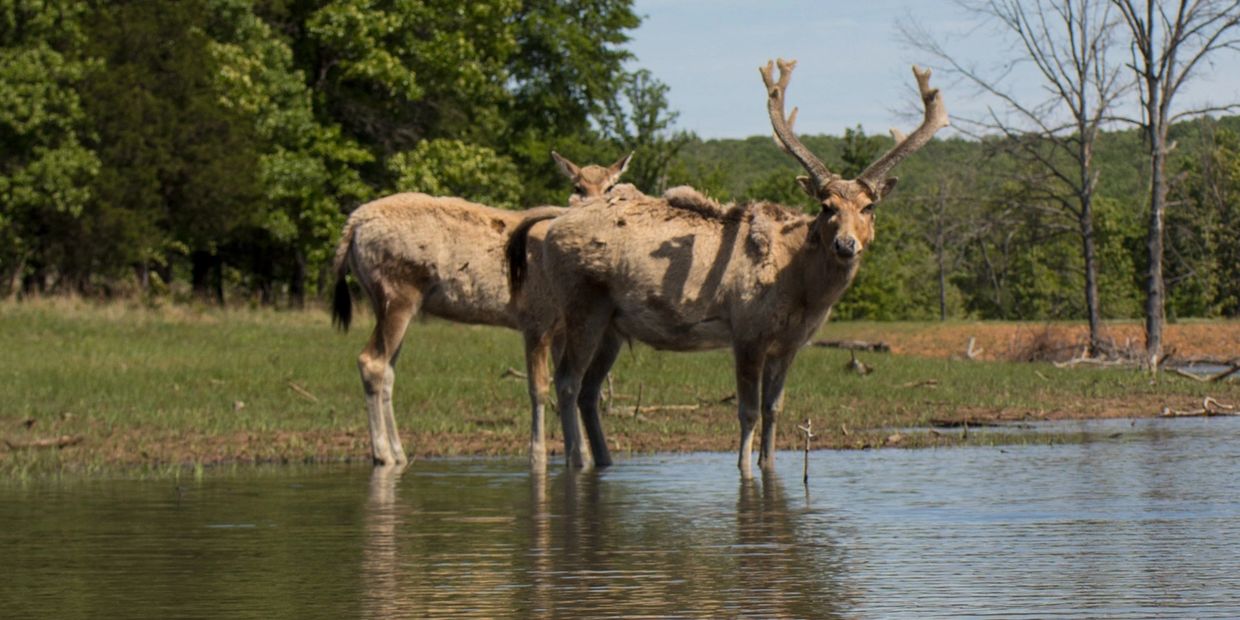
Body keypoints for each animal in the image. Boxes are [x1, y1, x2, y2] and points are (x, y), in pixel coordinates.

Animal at [331, 152, 633, 467]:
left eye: (611, 186)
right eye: (578, 187)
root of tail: (352, 226)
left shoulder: (562, 326)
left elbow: (569, 385)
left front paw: (581, 456)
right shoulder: (535, 318)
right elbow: (539, 387)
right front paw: (537, 455)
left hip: (390, 302)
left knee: (388, 370)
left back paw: (399, 453)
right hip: (397, 293)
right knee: (372, 361)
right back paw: (383, 455)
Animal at [507, 60, 947, 477]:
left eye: (869, 207)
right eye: (826, 207)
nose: (845, 244)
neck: (802, 289)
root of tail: (554, 223)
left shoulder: (790, 343)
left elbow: (774, 409)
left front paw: (769, 465)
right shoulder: (748, 330)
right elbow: (747, 410)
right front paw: (743, 470)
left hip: (614, 324)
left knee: (588, 391)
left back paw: (604, 460)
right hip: (583, 301)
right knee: (566, 381)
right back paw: (576, 460)